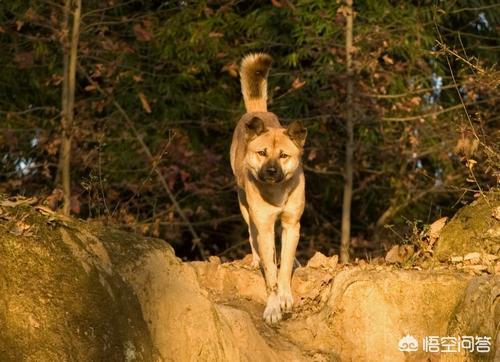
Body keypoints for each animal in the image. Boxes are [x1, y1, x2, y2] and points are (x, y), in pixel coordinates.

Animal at [229, 53, 306, 322]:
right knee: (254, 238)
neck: (277, 193)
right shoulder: (264, 225)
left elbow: (283, 268)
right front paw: (273, 306)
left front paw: (285, 297)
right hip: (245, 207)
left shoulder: (291, 224)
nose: (271, 172)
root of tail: (258, 112)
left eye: (284, 155)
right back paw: (256, 260)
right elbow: (271, 273)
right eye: (262, 153)